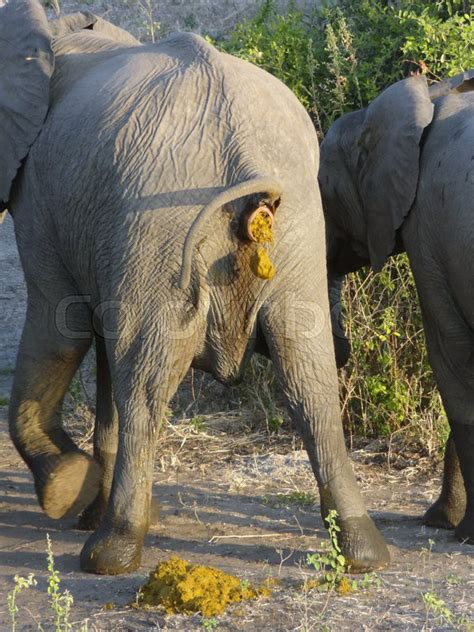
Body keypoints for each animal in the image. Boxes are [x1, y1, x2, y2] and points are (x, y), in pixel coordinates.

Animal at [0, 0, 388, 572]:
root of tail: (241, 146)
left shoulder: (44, 207)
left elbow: (59, 329)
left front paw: (66, 491)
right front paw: (83, 497)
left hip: (159, 220)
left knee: (146, 381)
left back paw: (110, 553)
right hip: (291, 225)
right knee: (308, 373)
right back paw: (365, 553)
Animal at [318, 68, 474, 544]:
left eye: (322, 193)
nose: (341, 351)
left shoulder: (431, 231)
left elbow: (451, 362)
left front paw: (460, 533)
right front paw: (440, 520)